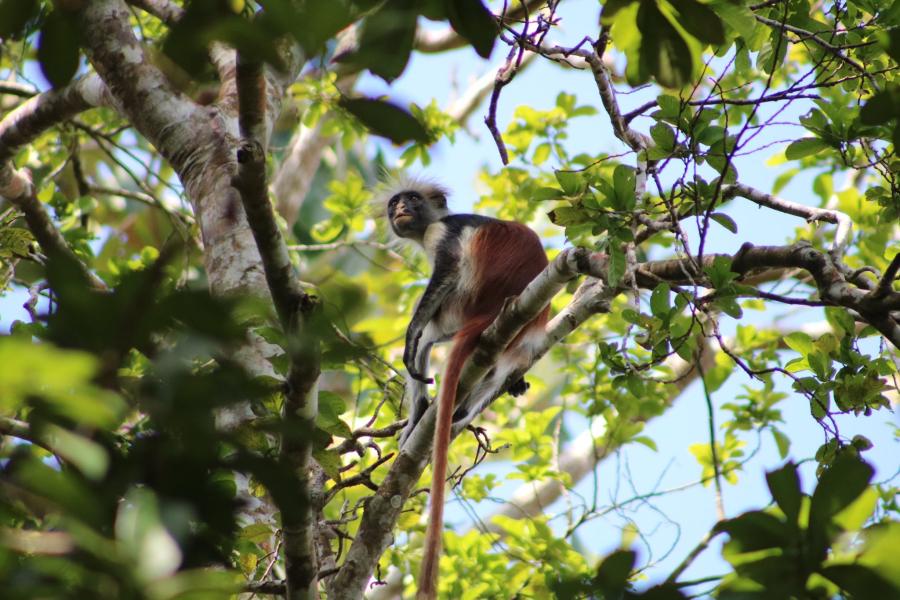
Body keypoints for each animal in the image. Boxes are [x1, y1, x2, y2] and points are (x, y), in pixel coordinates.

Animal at [384, 179, 548, 600]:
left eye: (412, 200)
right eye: (395, 204)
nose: (400, 210)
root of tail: (492, 313)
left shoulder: (444, 233)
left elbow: (447, 270)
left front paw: (411, 335)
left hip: (460, 306)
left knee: (428, 332)